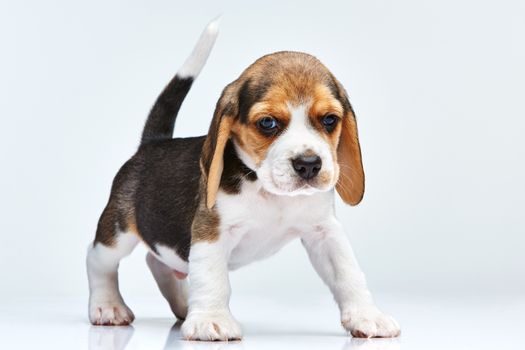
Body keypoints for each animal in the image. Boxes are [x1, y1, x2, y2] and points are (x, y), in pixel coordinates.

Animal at [88, 17, 402, 340]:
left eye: (329, 120)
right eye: (267, 123)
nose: (308, 165)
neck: (268, 190)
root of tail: (153, 142)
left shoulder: (324, 232)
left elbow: (348, 272)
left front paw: (366, 316)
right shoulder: (210, 231)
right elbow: (213, 279)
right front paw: (211, 319)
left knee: (158, 262)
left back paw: (184, 306)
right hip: (118, 231)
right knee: (98, 261)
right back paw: (108, 306)